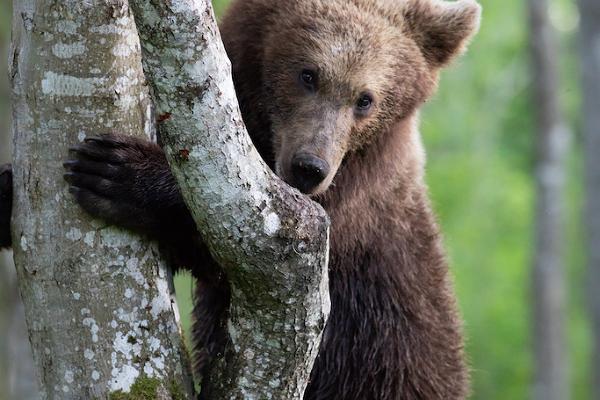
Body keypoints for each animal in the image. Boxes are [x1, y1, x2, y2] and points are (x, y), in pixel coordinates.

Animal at [0, 0, 480, 398]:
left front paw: (117, 172)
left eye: (366, 99)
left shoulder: (347, 211)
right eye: (308, 74)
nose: (310, 166)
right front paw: (5, 188)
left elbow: (230, 253)